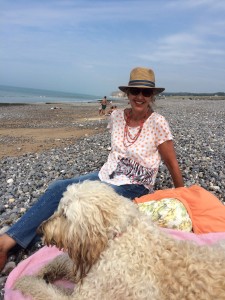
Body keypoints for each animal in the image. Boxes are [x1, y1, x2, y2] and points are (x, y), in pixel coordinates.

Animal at [13, 179, 225, 298]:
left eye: (65, 214)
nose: (40, 229)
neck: (118, 236)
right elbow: (62, 261)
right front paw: (43, 271)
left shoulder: (89, 292)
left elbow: (42, 289)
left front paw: (24, 281)